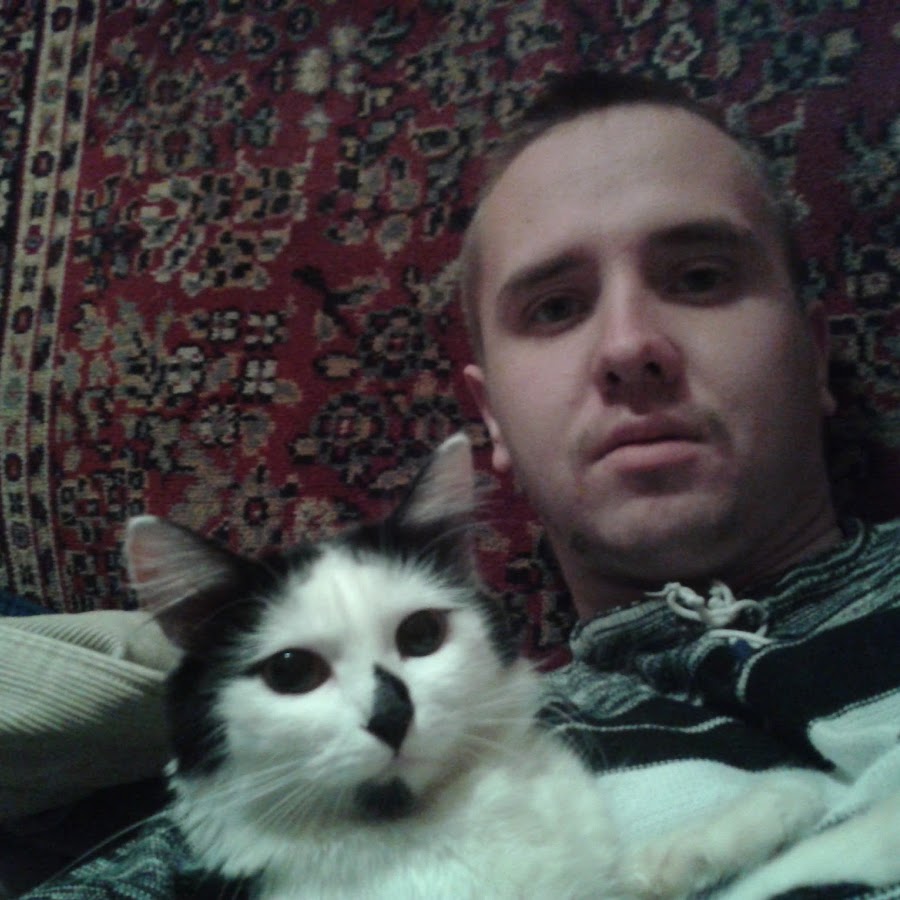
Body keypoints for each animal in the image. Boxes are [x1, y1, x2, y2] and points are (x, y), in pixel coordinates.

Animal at [126, 433, 835, 900]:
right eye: (293, 672)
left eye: (421, 634)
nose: (392, 716)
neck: (434, 826)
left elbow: (640, 873)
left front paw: (775, 805)